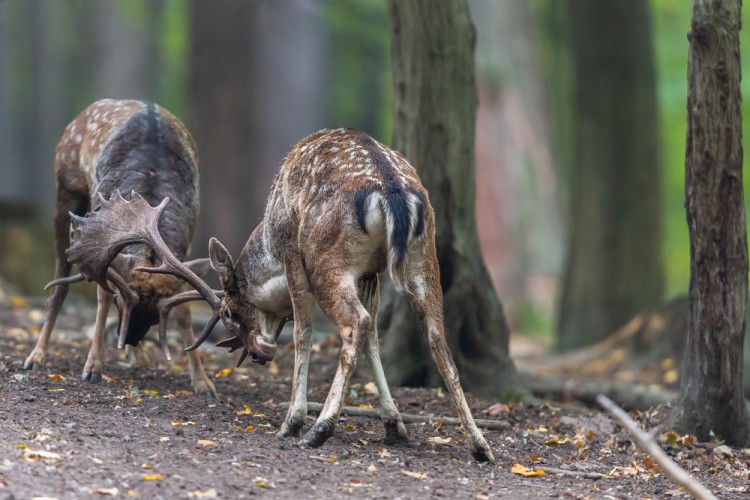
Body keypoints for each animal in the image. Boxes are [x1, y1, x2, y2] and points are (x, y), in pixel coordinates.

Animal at [22, 96, 217, 394]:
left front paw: (203, 381)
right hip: (66, 191)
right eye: (119, 302)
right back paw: (36, 356)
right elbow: (100, 296)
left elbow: (184, 312)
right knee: (58, 287)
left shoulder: (188, 240)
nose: (129, 340)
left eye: (155, 318)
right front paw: (92, 368)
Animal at [64, 128, 496, 460]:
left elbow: (303, 331)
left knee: (354, 323)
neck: (268, 239)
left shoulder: (292, 255)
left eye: (230, 313)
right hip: (424, 258)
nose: (258, 354)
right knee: (435, 337)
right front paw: (394, 425)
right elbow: (375, 340)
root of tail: (390, 190)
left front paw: (294, 419)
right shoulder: (371, 274)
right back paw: (480, 445)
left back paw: (317, 429)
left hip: (325, 258)